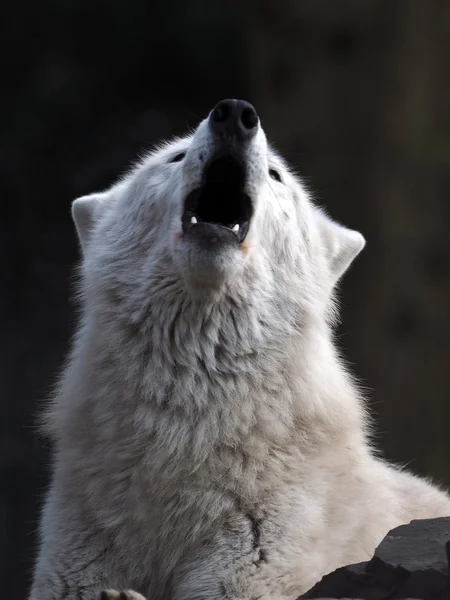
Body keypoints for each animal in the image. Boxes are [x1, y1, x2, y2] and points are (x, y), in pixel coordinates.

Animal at [29, 99, 448, 600]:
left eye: (275, 174)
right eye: (175, 156)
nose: (234, 114)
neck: (187, 434)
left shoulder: (264, 538)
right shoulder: (88, 524)